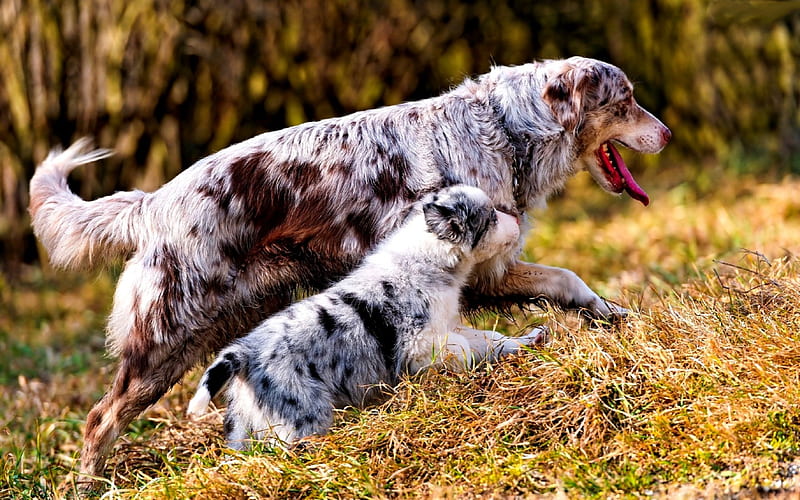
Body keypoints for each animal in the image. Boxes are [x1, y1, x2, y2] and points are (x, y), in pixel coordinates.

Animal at [185, 185, 548, 450]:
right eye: (490, 218)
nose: (517, 221)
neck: (429, 258)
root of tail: (243, 352)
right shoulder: (421, 344)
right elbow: (465, 349)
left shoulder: (446, 325)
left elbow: (490, 339)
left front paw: (529, 339)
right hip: (301, 417)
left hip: (243, 425)